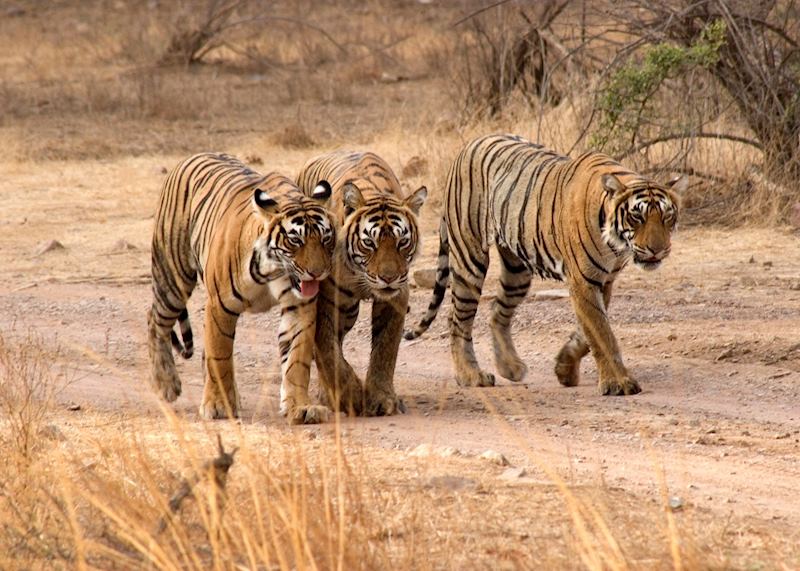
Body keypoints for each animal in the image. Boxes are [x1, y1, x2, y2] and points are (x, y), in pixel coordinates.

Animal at [147, 152, 336, 424]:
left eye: (325, 239)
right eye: (295, 240)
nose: (318, 272)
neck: (273, 269)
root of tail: (193, 156)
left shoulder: (300, 306)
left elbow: (297, 359)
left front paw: (301, 407)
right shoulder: (219, 306)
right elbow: (220, 356)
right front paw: (218, 405)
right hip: (172, 277)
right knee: (155, 320)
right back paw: (166, 383)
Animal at [296, 151, 427, 415]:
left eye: (402, 242)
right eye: (369, 243)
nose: (388, 277)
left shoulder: (396, 298)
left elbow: (385, 348)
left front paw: (381, 398)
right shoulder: (325, 301)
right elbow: (328, 351)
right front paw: (352, 396)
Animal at [404, 134, 685, 395]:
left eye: (667, 216)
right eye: (637, 217)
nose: (658, 250)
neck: (615, 245)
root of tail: (468, 146)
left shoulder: (604, 281)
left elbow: (587, 332)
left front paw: (564, 368)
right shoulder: (584, 281)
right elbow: (602, 334)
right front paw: (618, 383)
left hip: (517, 270)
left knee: (497, 310)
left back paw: (510, 367)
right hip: (469, 258)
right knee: (457, 319)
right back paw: (471, 375)